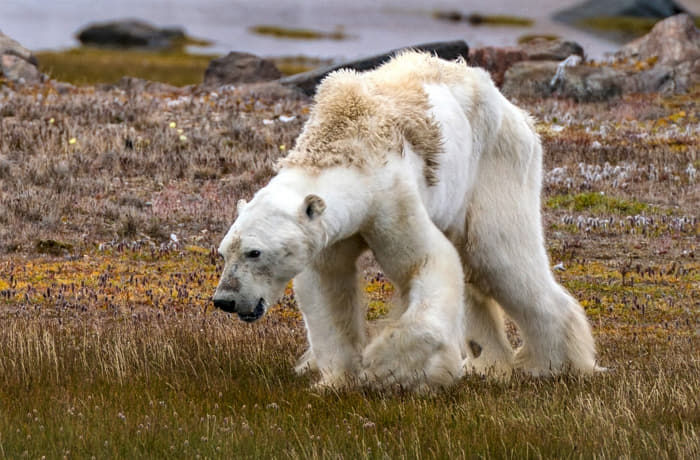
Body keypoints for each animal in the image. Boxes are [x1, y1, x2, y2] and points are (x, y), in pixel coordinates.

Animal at [211, 49, 600, 388]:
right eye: (224, 252)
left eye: (255, 252)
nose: (225, 300)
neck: (344, 143)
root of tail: (516, 111)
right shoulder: (329, 232)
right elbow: (326, 287)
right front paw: (336, 380)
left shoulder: (390, 198)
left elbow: (427, 262)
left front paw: (387, 367)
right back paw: (488, 363)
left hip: (495, 165)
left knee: (500, 257)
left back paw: (553, 364)